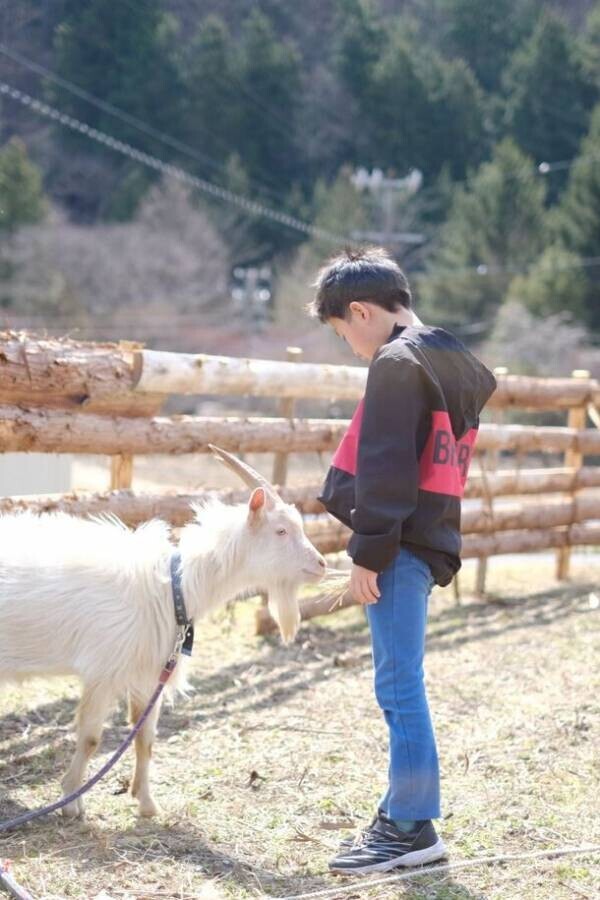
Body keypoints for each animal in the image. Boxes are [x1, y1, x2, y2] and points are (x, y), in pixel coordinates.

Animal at [0, 446, 326, 820]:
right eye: (281, 531)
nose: (321, 565)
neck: (173, 588)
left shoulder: (149, 672)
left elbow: (146, 737)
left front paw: (146, 803)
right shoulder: (103, 670)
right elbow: (91, 738)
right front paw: (72, 801)